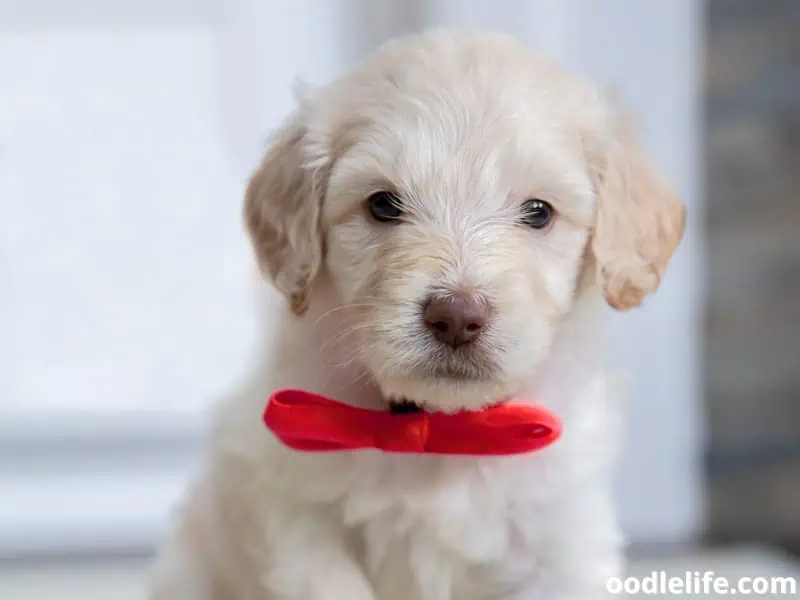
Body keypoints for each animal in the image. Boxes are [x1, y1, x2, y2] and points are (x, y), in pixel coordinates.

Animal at [152, 28, 688, 600]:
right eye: (383, 205)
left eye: (538, 212)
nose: (456, 316)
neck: (440, 432)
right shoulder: (297, 511)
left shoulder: (561, 538)